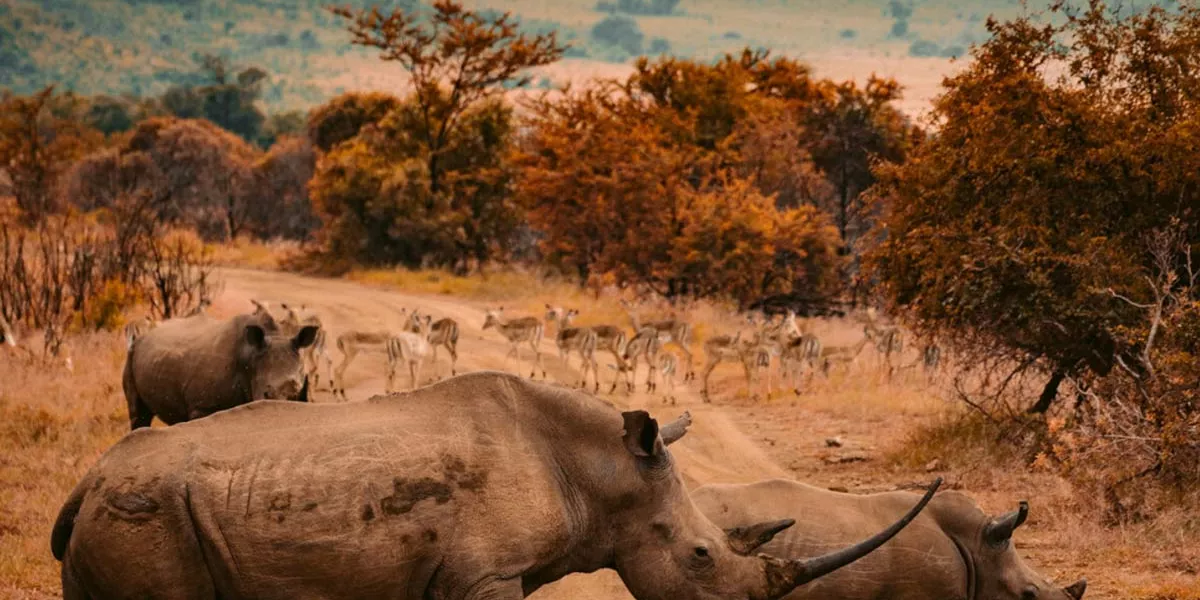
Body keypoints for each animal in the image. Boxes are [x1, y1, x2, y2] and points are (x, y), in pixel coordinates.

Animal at [53, 372, 938, 600]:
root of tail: (89, 477)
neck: (599, 472)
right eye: (699, 556)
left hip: (129, 511)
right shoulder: (485, 574)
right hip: (149, 514)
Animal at [122, 310, 319, 429]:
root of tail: (144, 335)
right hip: (131, 354)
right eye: (266, 394)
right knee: (138, 414)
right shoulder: (202, 407)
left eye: (298, 394)